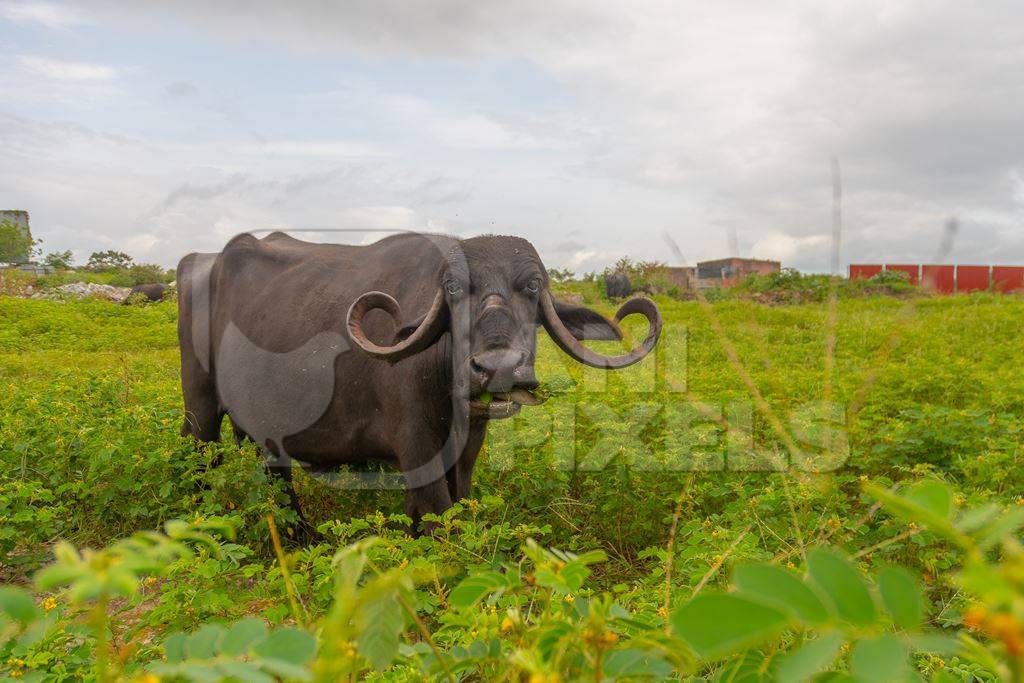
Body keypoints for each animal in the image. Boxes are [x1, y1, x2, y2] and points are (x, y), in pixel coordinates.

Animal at [179, 232, 659, 536]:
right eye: (453, 289)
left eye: (533, 285)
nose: (496, 367)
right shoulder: (414, 446)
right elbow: (439, 515)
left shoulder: (466, 449)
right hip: (199, 409)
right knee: (200, 456)